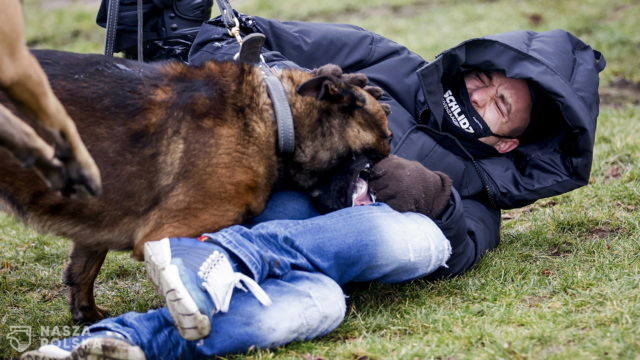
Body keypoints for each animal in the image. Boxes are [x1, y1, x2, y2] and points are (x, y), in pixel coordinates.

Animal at [0, 48, 390, 324]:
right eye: (386, 133)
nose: (386, 165)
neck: (275, 117)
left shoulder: (96, 220)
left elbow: (83, 268)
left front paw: (87, 315)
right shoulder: (171, 230)